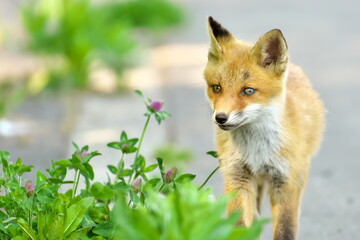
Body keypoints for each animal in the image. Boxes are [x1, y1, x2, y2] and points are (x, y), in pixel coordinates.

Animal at [204, 15, 324, 239]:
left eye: (248, 91)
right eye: (216, 88)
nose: (220, 118)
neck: (257, 150)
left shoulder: (285, 181)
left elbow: (285, 230)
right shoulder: (237, 176)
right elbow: (239, 225)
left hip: (299, 174)